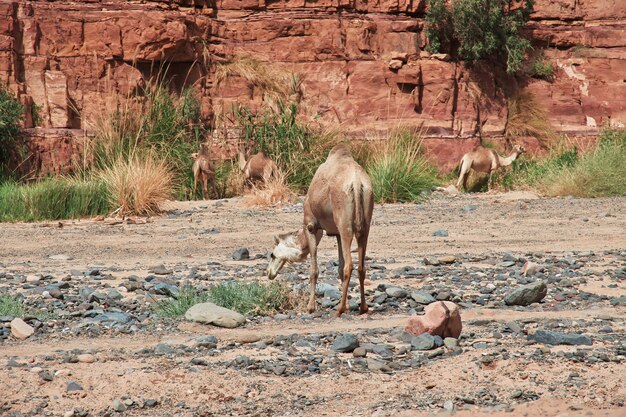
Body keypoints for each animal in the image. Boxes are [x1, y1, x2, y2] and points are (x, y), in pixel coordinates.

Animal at [266, 143, 372, 316]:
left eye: (272, 255)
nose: (269, 273)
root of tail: (357, 182)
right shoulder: (335, 233)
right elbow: (339, 268)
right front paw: (348, 306)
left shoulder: (311, 226)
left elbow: (314, 270)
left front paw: (310, 307)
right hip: (365, 223)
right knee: (361, 265)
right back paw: (362, 307)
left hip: (345, 225)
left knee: (350, 265)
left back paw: (339, 310)